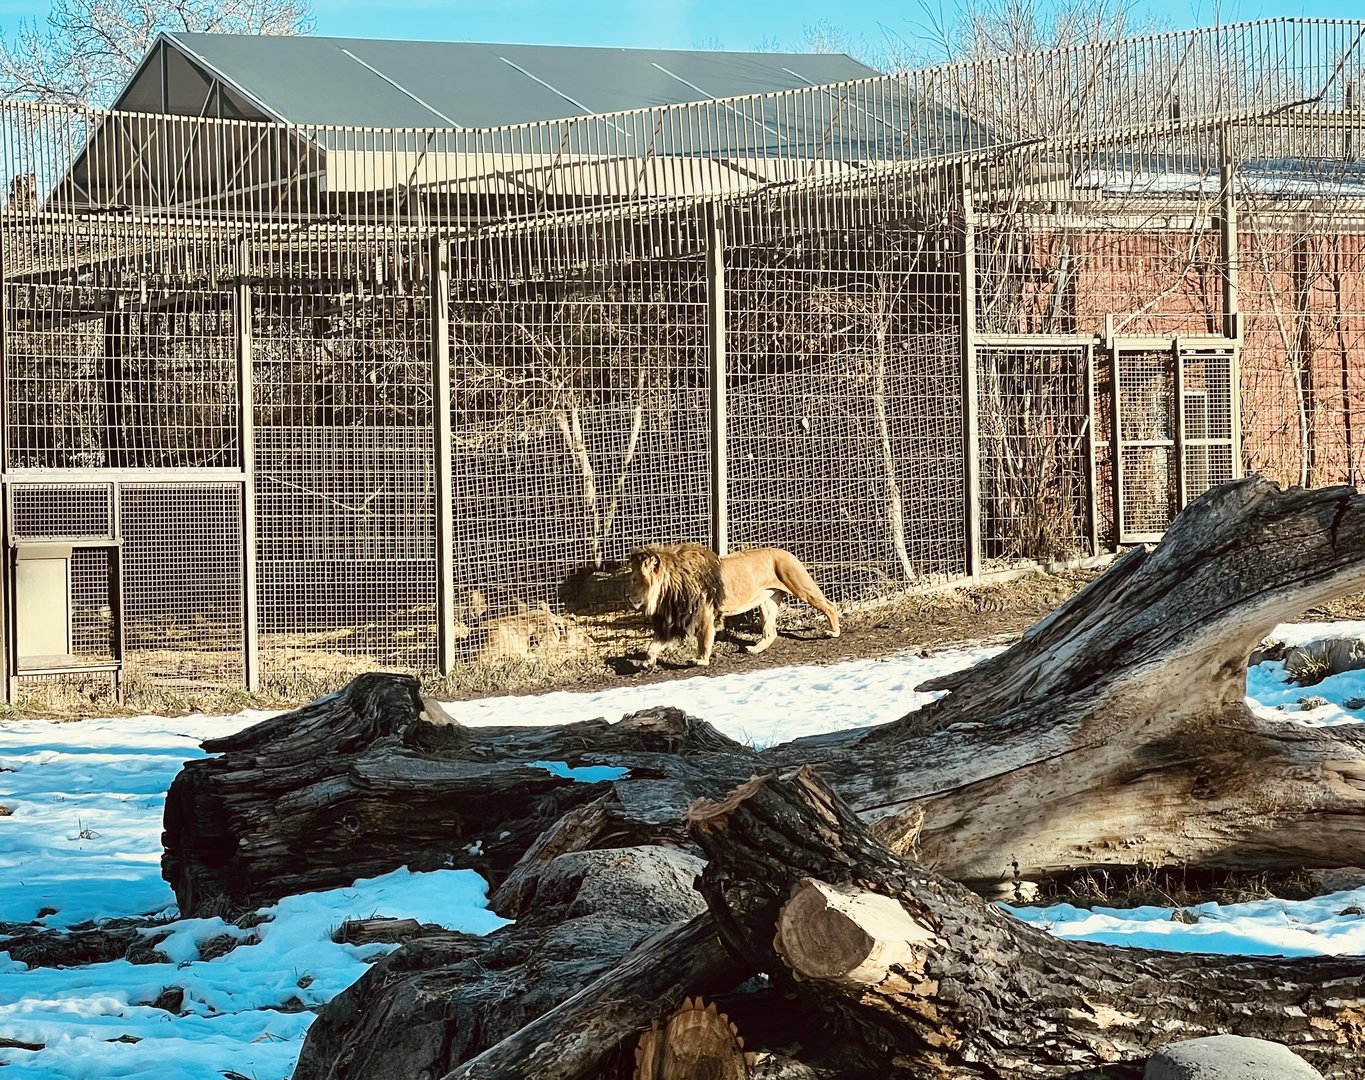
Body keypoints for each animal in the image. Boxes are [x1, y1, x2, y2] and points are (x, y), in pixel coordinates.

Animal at [627, 543, 839, 669]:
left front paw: (701, 660)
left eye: (635, 580)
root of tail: (787, 552)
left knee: (830, 605)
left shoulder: (705, 615)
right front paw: (648, 661)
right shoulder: (678, 619)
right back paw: (755, 649)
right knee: (771, 632)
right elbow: (653, 644)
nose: (628, 597)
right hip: (767, 600)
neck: (671, 586)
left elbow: (704, 640)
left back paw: (834, 631)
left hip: (800, 585)